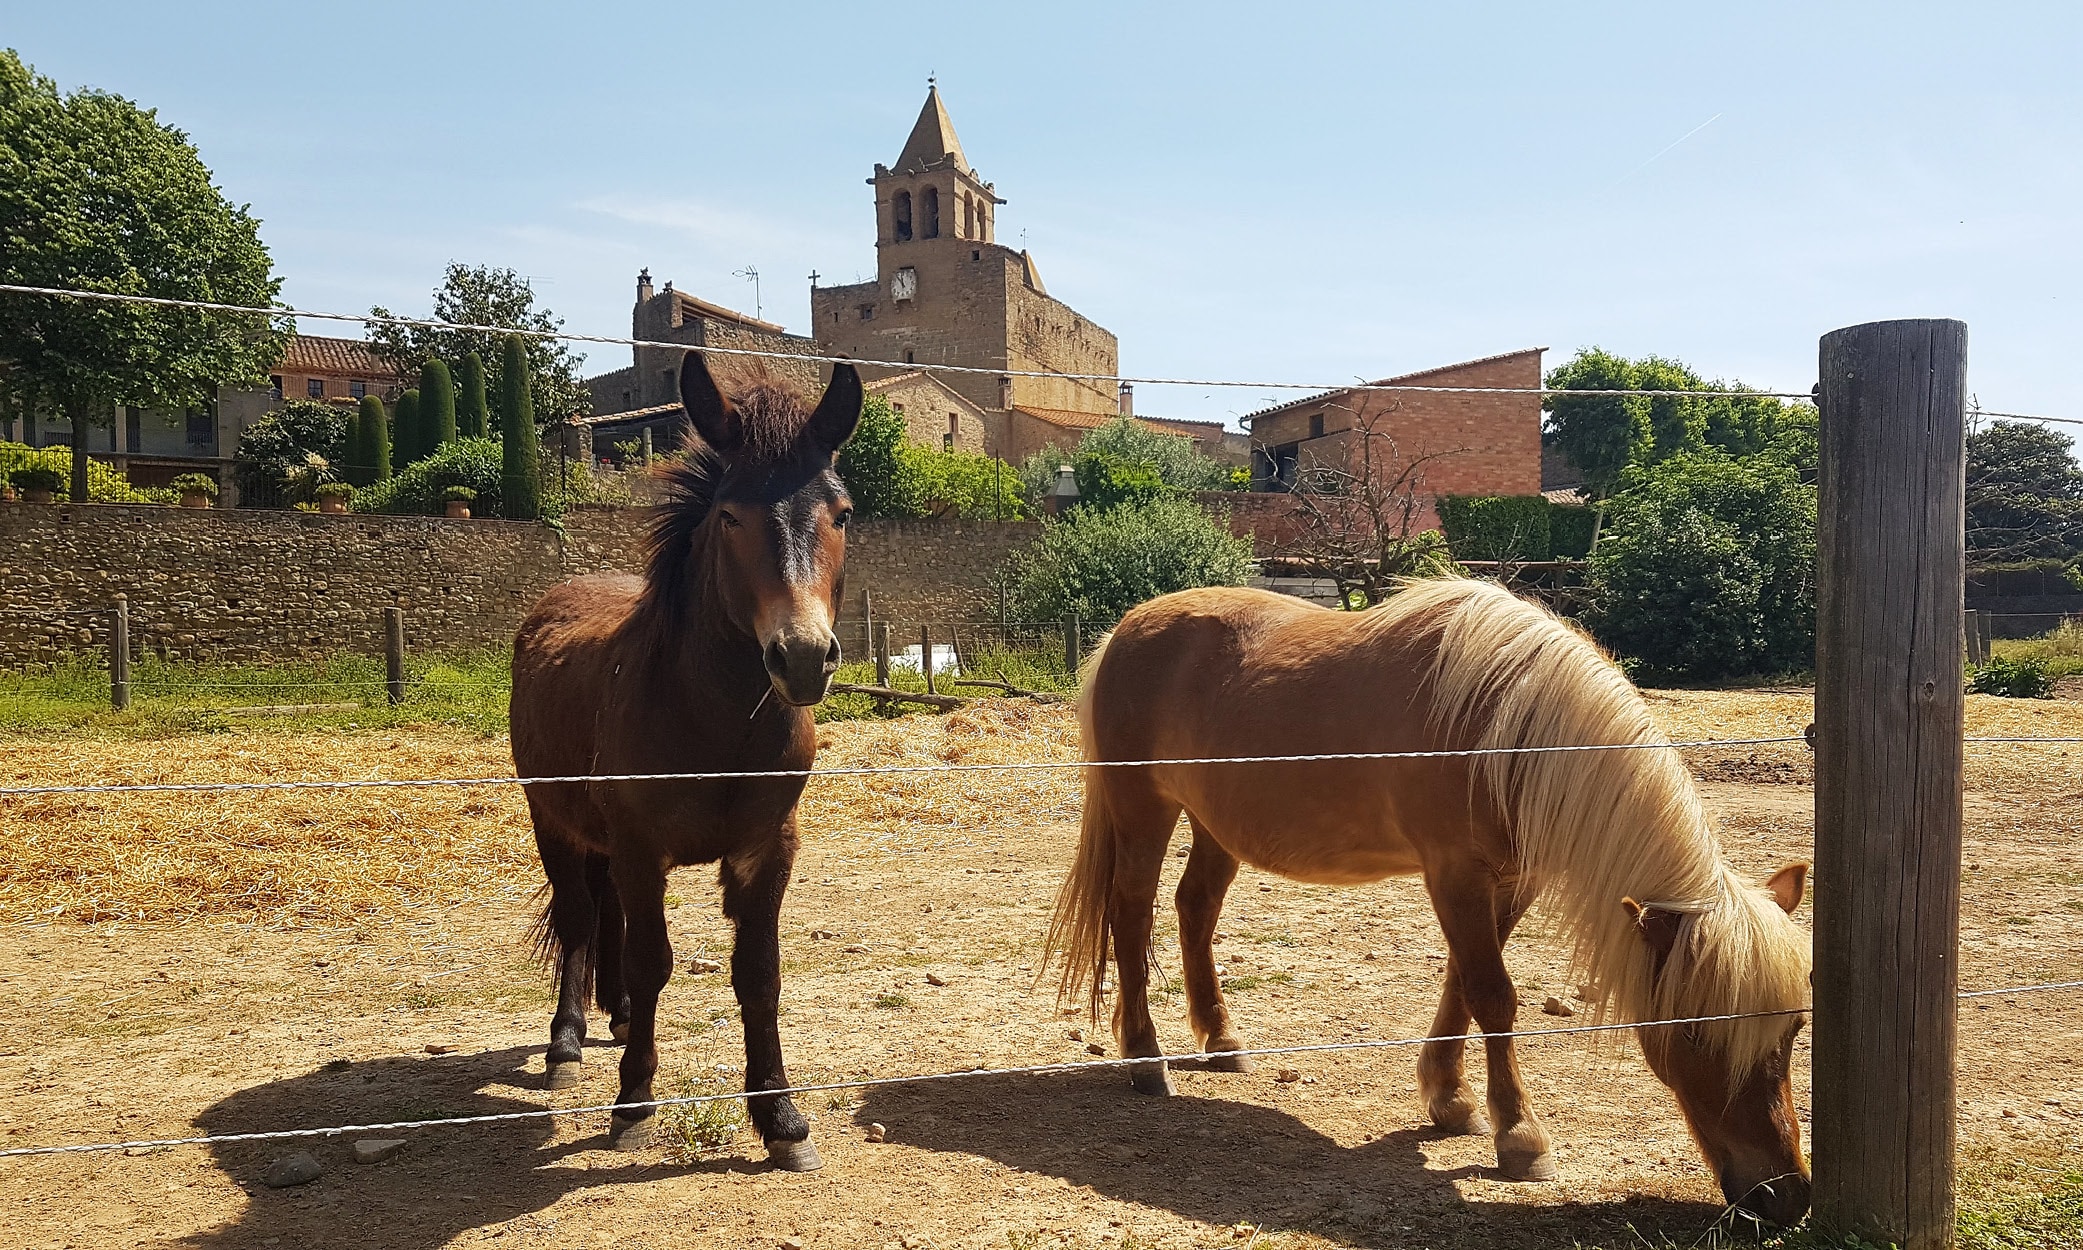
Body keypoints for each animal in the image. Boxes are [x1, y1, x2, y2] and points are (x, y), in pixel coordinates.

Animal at [508, 354, 858, 1175]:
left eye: (842, 513)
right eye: (729, 517)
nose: (802, 658)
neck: (715, 723)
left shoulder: (768, 847)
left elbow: (758, 973)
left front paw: (781, 1118)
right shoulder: (641, 849)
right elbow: (652, 959)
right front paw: (634, 1102)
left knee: (605, 919)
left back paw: (616, 1017)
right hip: (552, 822)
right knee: (578, 918)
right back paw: (567, 1041)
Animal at [1049, 579, 1816, 1225]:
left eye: (1792, 1031)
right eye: (1697, 1033)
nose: (1785, 1198)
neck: (1506, 725)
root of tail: (1125, 630)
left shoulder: (1509, 880)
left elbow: (1463, 983)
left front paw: (1449, 1099)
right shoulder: (1454, 874)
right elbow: (1493, 995)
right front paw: (1520, 1137)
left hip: (1216, 825)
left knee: (1195, 907)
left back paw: (1221, 1040)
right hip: (1143, 810)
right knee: (1131, 911)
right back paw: (1144, 1057)